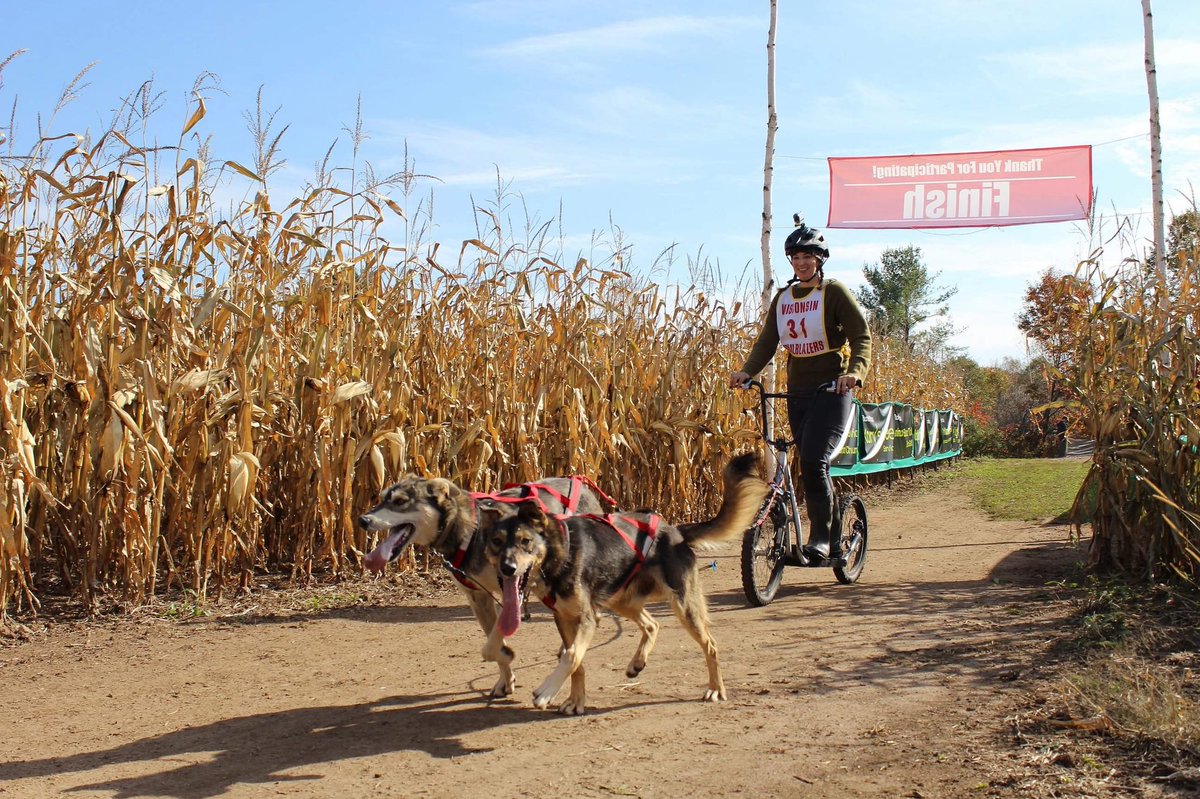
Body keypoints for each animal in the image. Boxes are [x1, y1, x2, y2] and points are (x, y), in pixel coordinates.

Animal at [357, 472, 619, 695]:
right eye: (382, 499)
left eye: (400, 501)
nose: (362, 520)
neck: (469, 532)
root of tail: (582, 484)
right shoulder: (478, 597)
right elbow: (492, 642)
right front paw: (505, 678)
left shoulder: (510, 589)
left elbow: (491, 646)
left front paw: (507, 653)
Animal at [482, 448, 763, 715]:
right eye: (496, 542)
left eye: (525, 541)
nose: (508, 568)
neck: (560, 552)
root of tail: (675, 532)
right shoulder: (565, 618)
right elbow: (576, 662)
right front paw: (575, 701)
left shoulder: (588, 618)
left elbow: (571, 656)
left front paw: (547, 692)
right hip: (621, 601)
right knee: (652, 624)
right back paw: (637, 663)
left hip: (683, 607)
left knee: (710, 645)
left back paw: (716, 688)